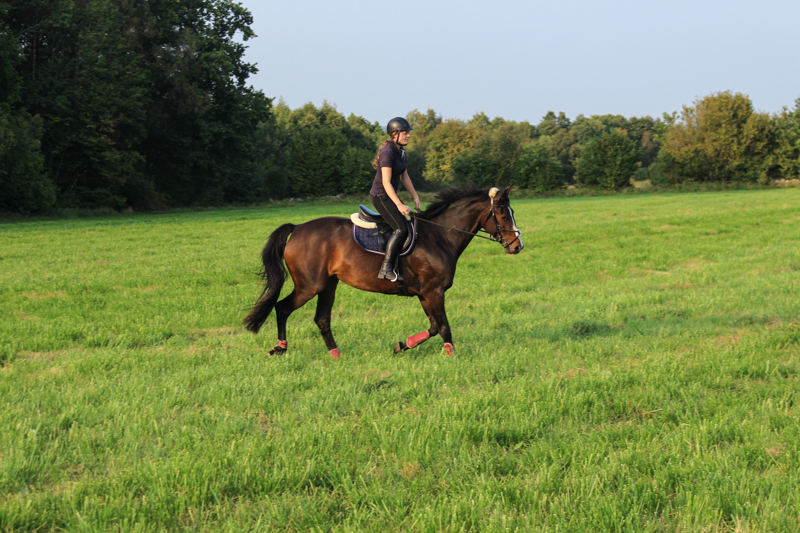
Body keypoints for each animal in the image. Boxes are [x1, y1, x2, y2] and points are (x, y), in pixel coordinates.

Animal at [243, 185, 523, 358]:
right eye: (502, 215)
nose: (517, 246)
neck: (439, 236)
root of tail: (298, 228)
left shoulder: (426, 294)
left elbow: (433, 326)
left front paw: (402, 346)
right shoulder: (434, 292)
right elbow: (444, 327)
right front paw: (451, 354)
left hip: (328, 285)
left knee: (321, 319)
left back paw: (335, 354)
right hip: (309, 285)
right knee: (282, 308)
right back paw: (280, 347)